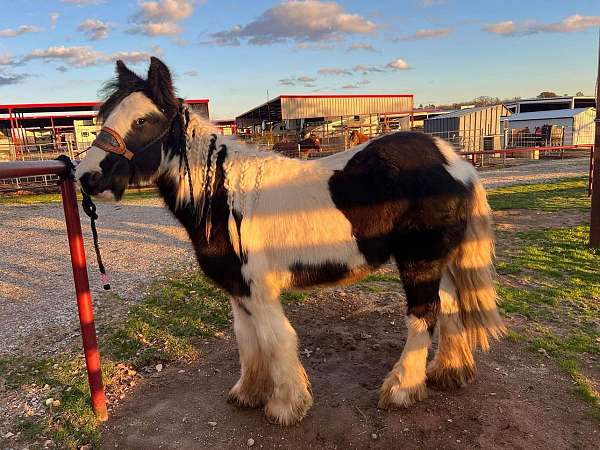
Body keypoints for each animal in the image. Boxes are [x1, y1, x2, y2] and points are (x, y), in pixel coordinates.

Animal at [76, 57, 506, 426]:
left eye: (144, 120)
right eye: (104, 118)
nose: (86, 177)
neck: (224, 197)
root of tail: (455, 161)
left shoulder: (260, 290)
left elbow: (276, 340)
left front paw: (285, 405)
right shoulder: (238, 290)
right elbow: (247, 340)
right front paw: (248, 393)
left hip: (419, 261)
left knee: (423, 315)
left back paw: (402, 389)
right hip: (438, 260)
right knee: (448, 307)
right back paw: (448, 372)